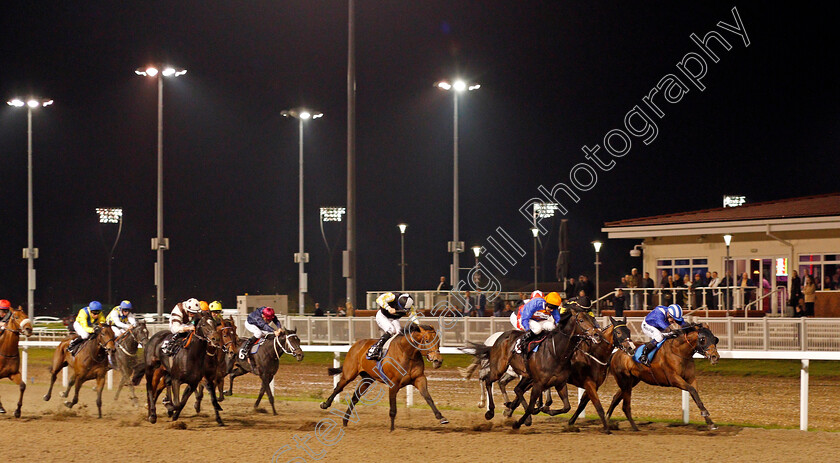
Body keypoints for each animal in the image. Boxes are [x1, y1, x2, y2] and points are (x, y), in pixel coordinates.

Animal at [322, 324, 450, 434]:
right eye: (427, 340)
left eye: (438, 341)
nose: (438, 360)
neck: (407, 352)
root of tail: (356, 344)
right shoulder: (393, 384)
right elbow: (393, 408)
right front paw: (392, 429)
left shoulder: (419, 378)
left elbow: (428, 397)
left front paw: (441, 417)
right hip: (349, 374)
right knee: (339, 387)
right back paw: (325, 404)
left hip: (367, 379)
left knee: (355, 397)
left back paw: (345, 420)